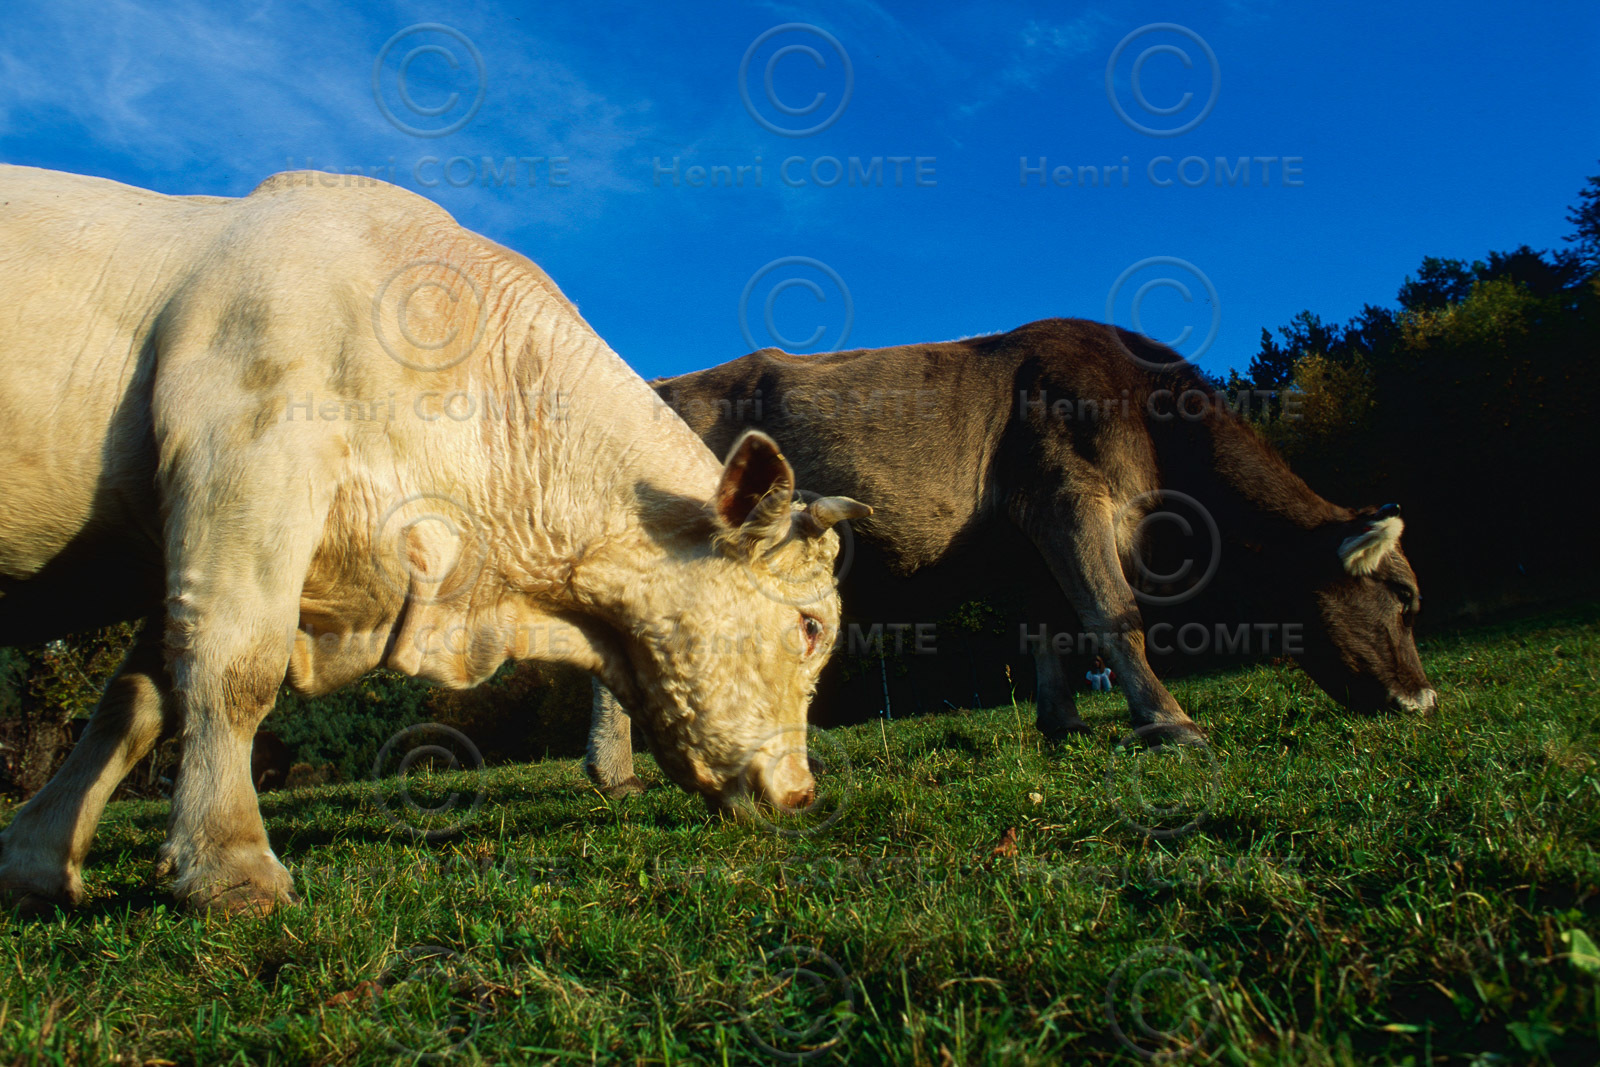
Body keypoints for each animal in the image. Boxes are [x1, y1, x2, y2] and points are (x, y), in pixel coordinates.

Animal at [0, 166, 866, 914]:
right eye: (810, 625)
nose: (800, 792)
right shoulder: (245, 463)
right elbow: (233, 669)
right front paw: (230, 866)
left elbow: (138, 701)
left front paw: (38, 862)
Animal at [585, 319, 1436, 794]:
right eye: (1403, 596)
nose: (1424, 700)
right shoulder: (1065, 492)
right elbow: (1115, 615)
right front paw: (1170, 722)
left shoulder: (1033, 543)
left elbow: (1051, 631)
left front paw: (1063, 723)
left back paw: (618, 775)